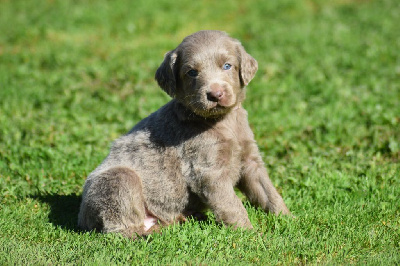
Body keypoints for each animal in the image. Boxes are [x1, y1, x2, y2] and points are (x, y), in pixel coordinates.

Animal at [78, 30, 290, 238]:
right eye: (192, 72)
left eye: (227, 66)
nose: (215, 94)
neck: (224, 123)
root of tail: (82, 218)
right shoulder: (208, 171)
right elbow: (232, 204)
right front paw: (250, 234)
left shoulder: (250, 160)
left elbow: (268, 191)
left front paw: (288, 219)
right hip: (118, 181)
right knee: (117, 228)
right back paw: (148, 233)